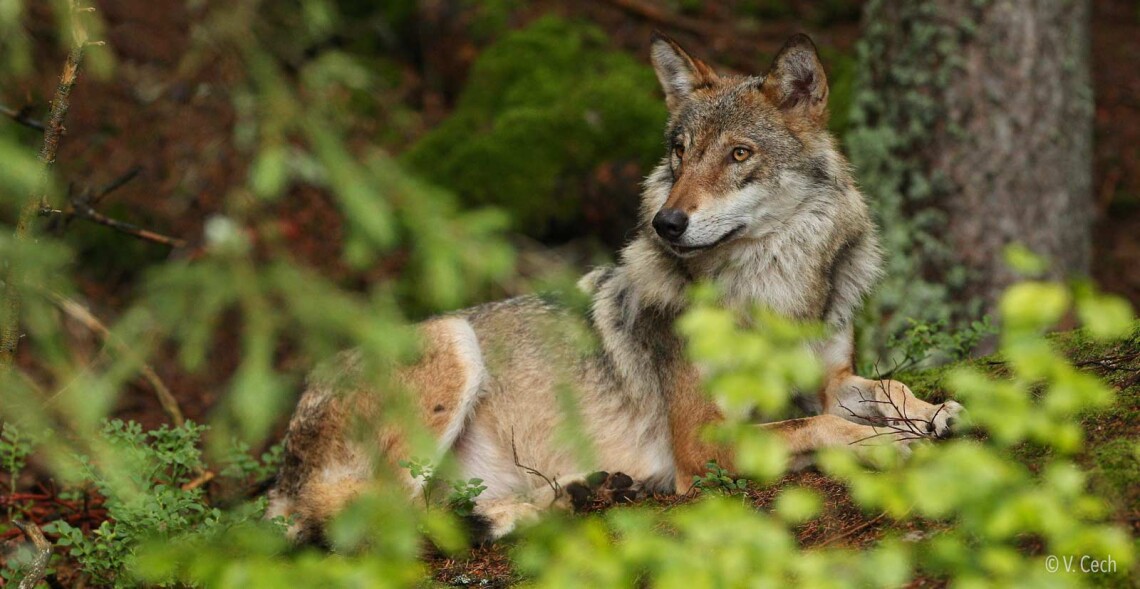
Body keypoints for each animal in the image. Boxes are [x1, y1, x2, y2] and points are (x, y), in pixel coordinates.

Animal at [266, 32, 964, 543]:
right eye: (680, 152)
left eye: (739, 155)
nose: (667, 223)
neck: (775, 293)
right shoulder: (704, 445)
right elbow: (824, 426)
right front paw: (888, 440)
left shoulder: (829, 376)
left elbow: (883, 389)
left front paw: (937, 412)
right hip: (451, 343)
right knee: (373, 519)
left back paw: (570, 495)